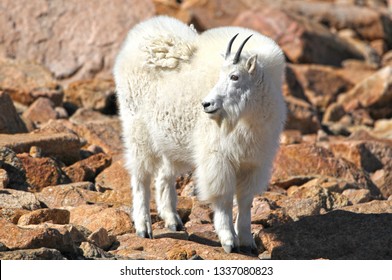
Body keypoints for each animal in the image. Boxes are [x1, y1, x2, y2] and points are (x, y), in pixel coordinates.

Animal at [113, 15, 284, 254]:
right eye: (220, 75)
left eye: (235, 76)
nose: (207, 104)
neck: (247, 119)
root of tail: (141, 35)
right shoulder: (218, 157)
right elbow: (223, 198)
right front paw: (229, 240)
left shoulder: (254, 161)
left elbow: (245, 199)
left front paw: (247, 241)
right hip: (137, 130)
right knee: (141, 177)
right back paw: (143, 227)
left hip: (171, 140)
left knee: (164, 175)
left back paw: (172, 220)